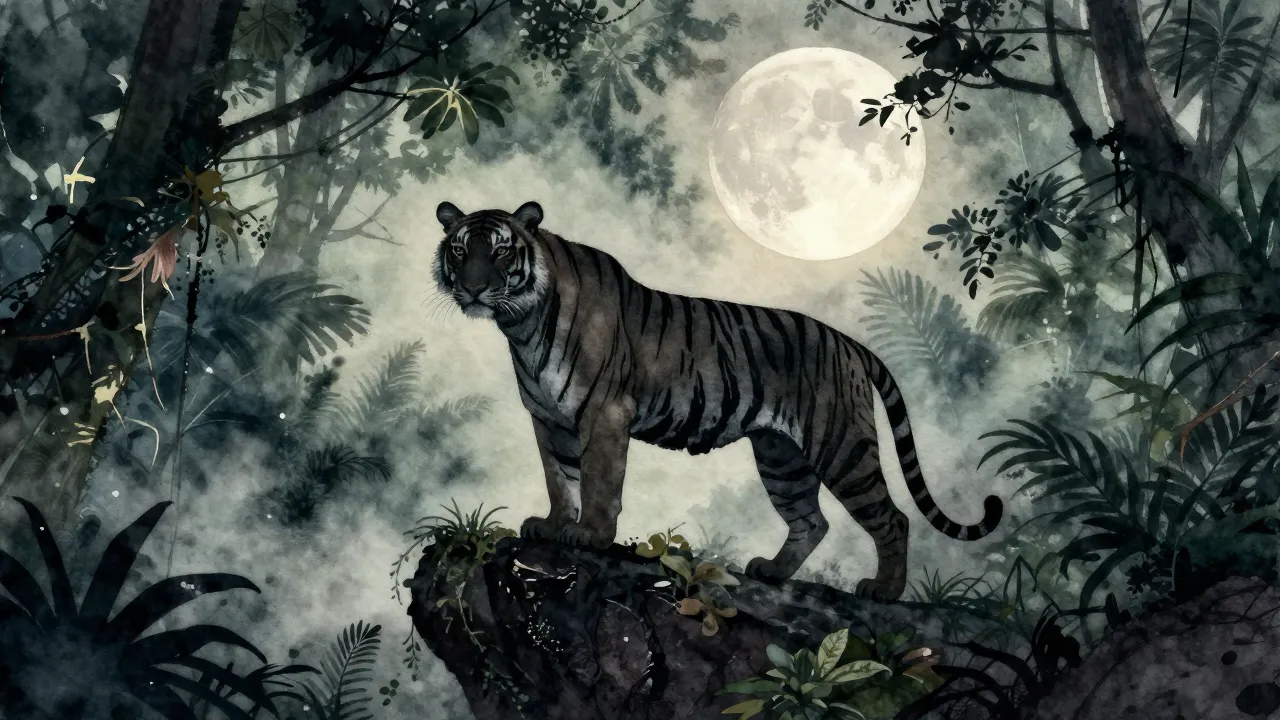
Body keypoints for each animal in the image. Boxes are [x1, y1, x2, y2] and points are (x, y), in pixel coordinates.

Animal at [431, 200, 1002, 600]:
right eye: (460, 250)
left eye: (500, 250)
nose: (473, 288)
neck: (521, 325)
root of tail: (848, 342)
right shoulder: (548, 418)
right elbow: (559, 477)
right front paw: (552, 526)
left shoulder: (604, 413)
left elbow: (597, 481)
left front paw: (589, 535)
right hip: (780, 455)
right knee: (810, 520)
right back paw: (771, 571)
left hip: (842, 446)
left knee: (892, 518)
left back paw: (884, 590)